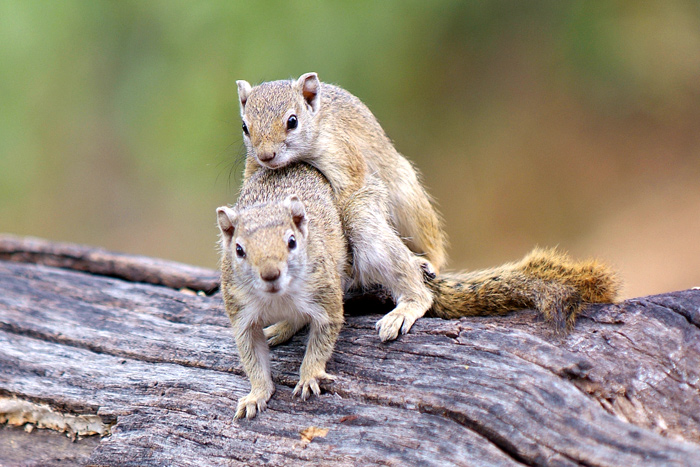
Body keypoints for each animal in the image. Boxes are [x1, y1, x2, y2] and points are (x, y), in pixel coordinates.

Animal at [217, 163, 616, 418]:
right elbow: (252, 358)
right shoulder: (241, 312)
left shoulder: (324, 293)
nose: (270, 274)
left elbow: (325, 333)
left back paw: (408, 303)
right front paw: (256, 394)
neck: (278, 297)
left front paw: (310, 375)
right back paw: (283, 328)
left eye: (292, 241)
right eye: (239, 250)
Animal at [235, 74, 442, 344]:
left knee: (431, 250)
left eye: (292, 121)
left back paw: (422, 272)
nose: (266, 155)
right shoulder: (253, 167)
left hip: (406, 202)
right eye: (244, 127)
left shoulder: (342, 156)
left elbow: (346, 195)